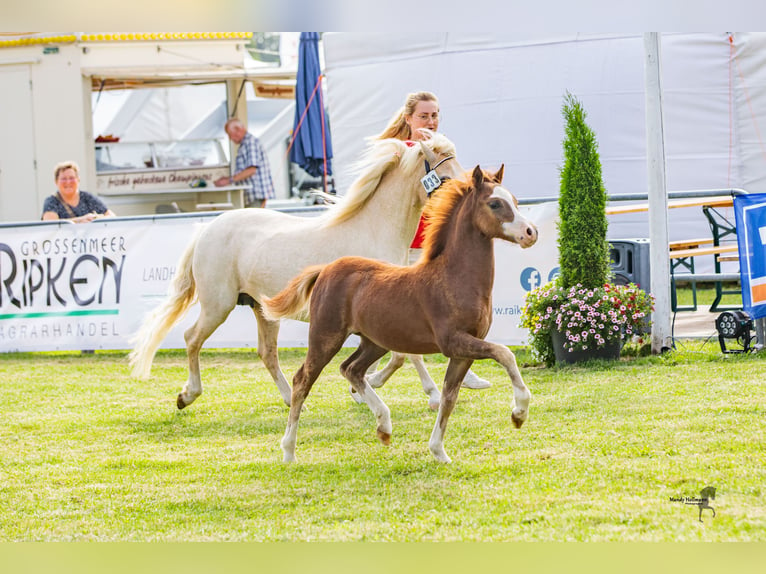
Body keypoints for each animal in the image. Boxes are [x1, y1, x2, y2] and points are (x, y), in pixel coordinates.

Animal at [131, 132, 464, 410]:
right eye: (445, 177)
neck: (373, 230)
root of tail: (207, 230)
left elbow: (402, 355)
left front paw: (365, 388)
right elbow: (405, 355)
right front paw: (422, 394)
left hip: (261, 309)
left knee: (266, 353)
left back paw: (291, 399)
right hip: (218, 305)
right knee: (191, 338)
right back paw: (187, 396)